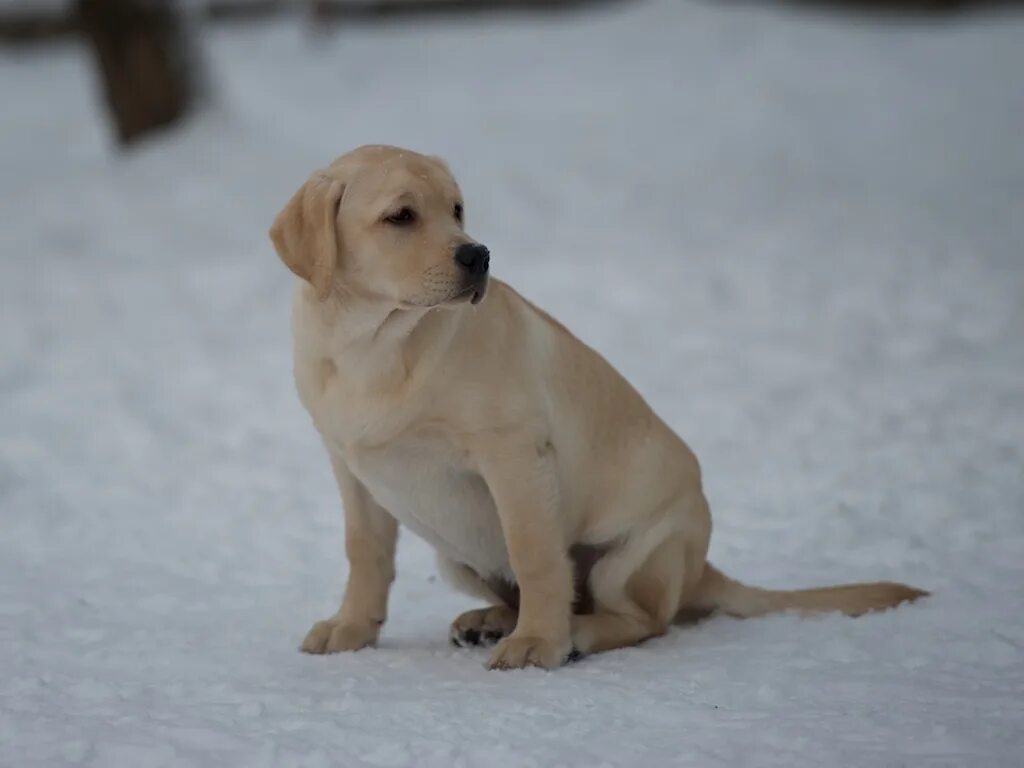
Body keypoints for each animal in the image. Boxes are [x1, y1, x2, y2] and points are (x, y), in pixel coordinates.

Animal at [268, 145, 925, 671]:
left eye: (457, 210)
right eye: (400, 216)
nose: (479, 256)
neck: (374, 346)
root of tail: (703, 569)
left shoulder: (513, 455)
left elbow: (535, 554)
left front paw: (538, 643)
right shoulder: (351, 467)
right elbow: (365, 553)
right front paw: (352, 627)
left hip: (632, 553)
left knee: (642, 618)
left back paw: (572, 632)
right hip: (457, 557)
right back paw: (490, 621)